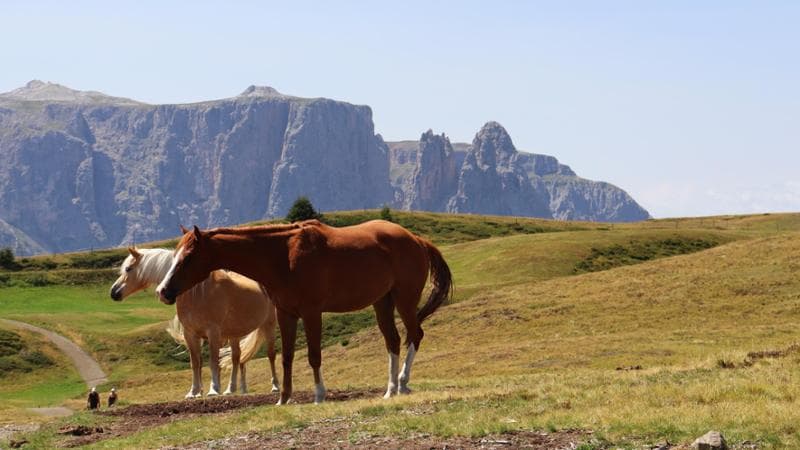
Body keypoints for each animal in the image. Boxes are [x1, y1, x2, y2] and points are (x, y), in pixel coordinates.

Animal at [110, 247, 280, 398]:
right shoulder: (190, 334)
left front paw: (213, 390)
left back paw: (275, 387)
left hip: (269, 324)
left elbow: (213, 361)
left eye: (128, 269)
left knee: (271, 354)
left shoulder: (213, 333)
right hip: (235, 334)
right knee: (237, 357)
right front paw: (194, 392)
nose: (113, 292)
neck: (196, 292)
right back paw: (230, 389)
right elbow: (196, 363)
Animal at [156, 219, 453, 405]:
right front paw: (283, 398)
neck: (283, 256)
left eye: (188, 257)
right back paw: (390, 390)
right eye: (175, 255)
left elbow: (313, 355)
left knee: (414, 335)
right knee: (393, 341)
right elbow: (287, 357)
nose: (163, 291)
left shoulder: (311, 313)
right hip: (383, 302)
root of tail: (416, 239)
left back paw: (402, 383)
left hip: (405, 300)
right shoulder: (286, 314)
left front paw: (319, 394)